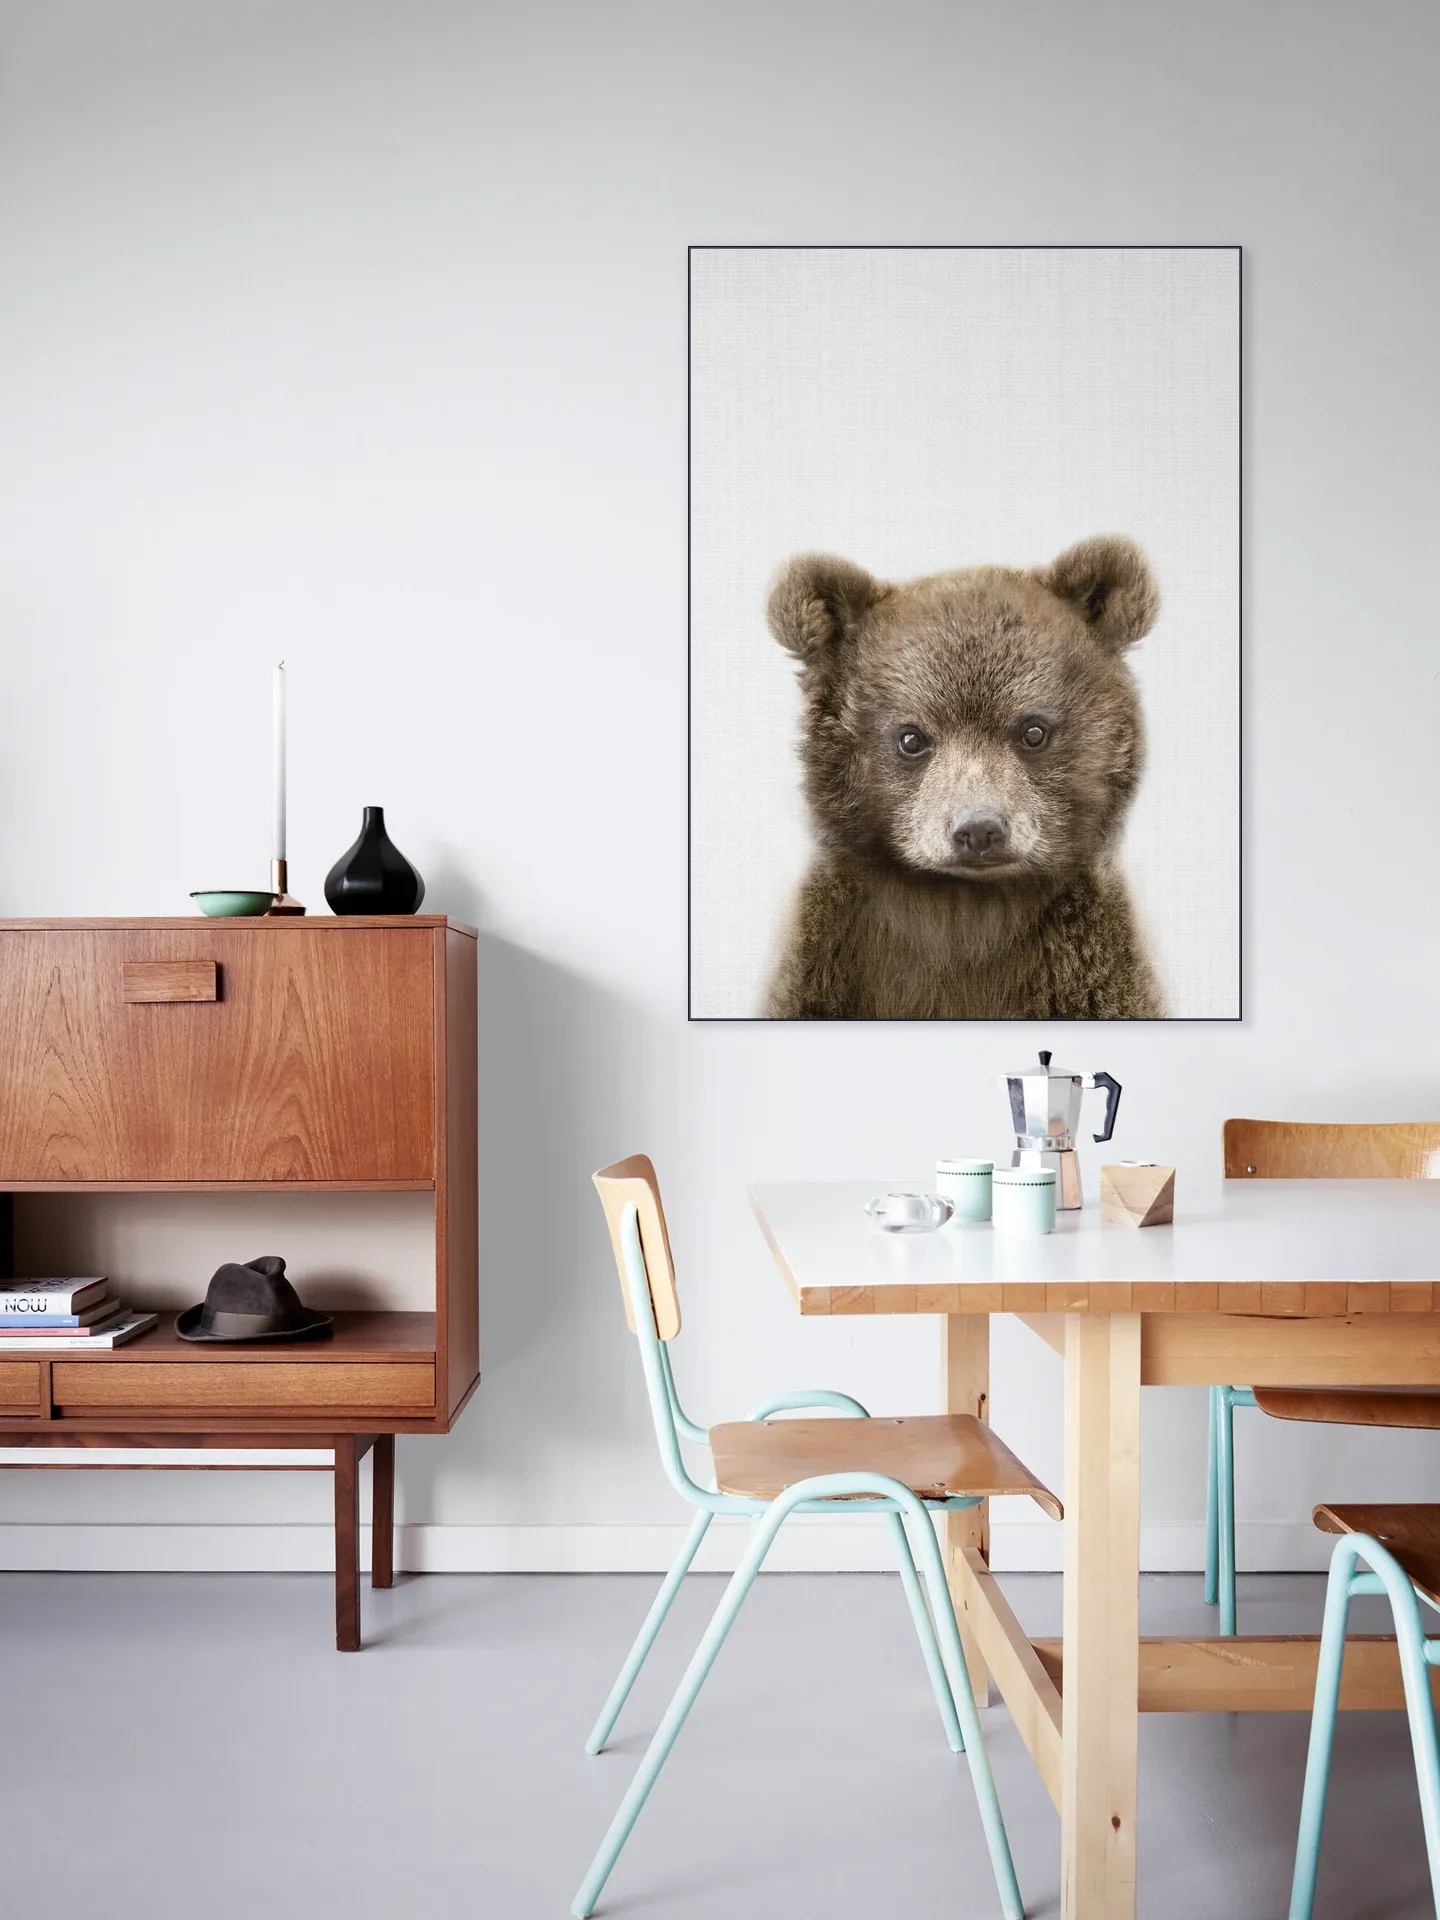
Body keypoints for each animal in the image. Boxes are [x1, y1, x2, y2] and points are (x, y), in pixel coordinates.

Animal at [764, 535, 1165, 1020]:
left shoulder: (1086, 967)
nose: (979, 830)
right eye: (911, 737)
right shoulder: (829, 959)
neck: (962, 912)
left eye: (1033, 731)